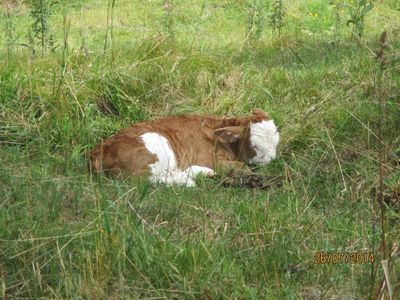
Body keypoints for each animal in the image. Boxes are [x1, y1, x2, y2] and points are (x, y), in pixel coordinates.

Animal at [89, 109, 280, 186]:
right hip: (154, 146)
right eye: (254, 146)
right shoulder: (212, 160)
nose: (272, 162)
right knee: (146, 180)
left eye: (276, 142)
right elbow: (243, 167)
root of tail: (96, 152)